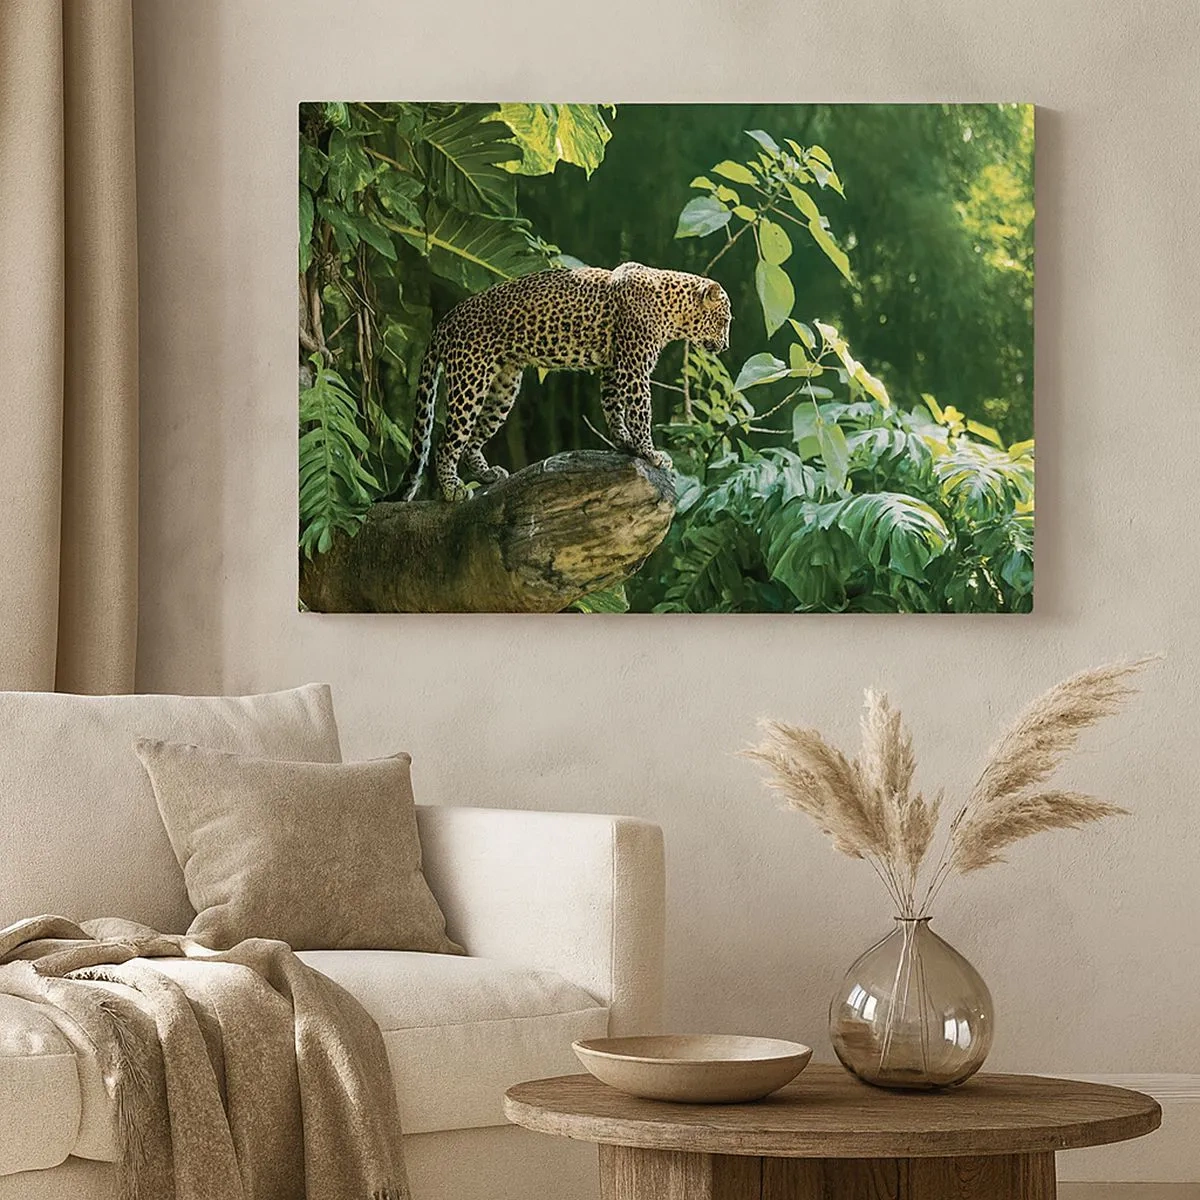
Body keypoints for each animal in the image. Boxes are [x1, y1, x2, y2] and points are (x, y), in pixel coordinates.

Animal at [396, 262, 732, 502]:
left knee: (472, 440)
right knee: (446, 441)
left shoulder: (614, 367)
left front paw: (626, 444)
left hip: (504, 386)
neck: (673, 309)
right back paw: (452, 489)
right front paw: (651, 453)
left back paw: (488, 475)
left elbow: (613, 408)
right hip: (471, 378)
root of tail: (445, 321)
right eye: (724, 321)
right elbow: (640, 412)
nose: (726, 346)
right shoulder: (635, 368)